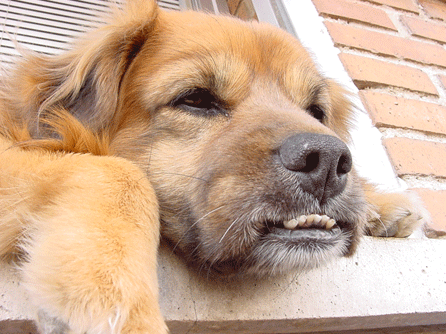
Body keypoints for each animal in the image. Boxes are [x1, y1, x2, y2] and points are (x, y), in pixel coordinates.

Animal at [0, 1, 428, 332]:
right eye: (197, 99)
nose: (326, 160)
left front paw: (380, 203)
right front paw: (123, 308)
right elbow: (116, 170)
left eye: (316, 112)